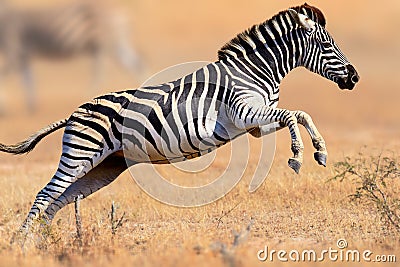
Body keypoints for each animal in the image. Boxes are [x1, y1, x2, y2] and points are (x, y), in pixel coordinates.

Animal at [0, 0, 143, 111]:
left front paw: (4, 108)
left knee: (100, 74)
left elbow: (6, 76)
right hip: (115, 44)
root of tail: (120, 12)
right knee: (136, 65)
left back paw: (88, 96)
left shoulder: (14, 50)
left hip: (104, 45)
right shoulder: (23, 55)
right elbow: (28, 80)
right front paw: (32, 107)